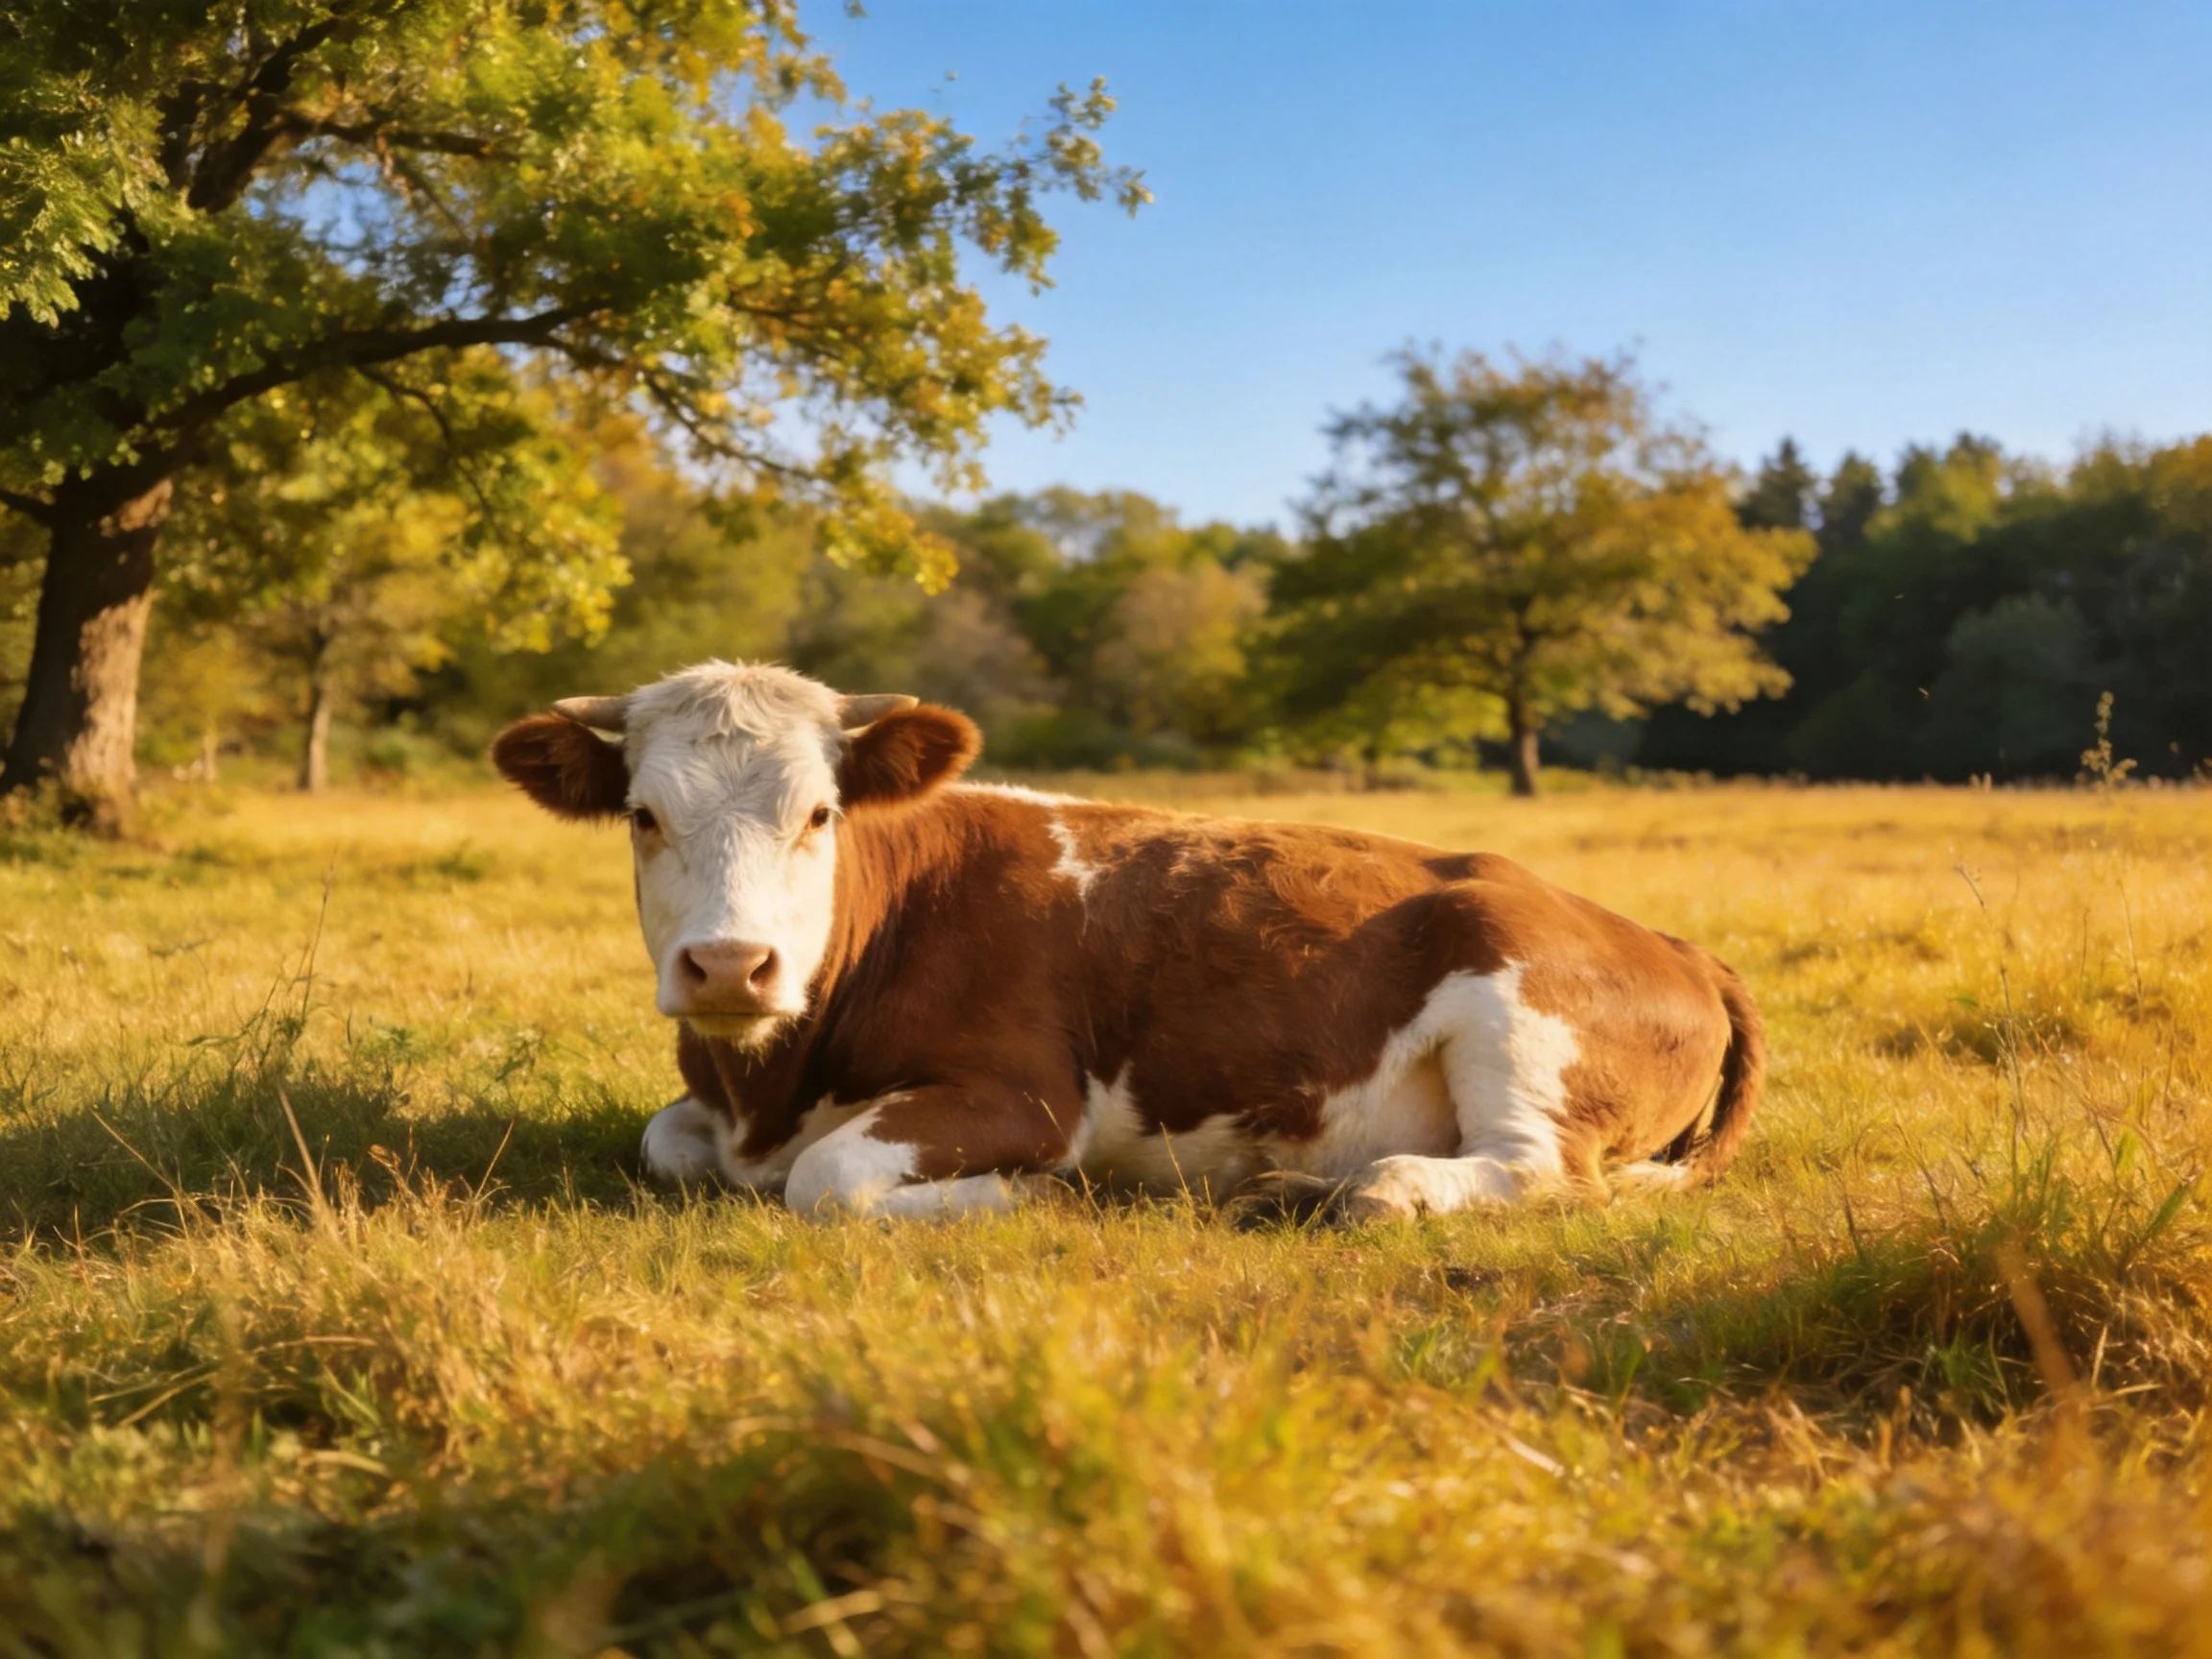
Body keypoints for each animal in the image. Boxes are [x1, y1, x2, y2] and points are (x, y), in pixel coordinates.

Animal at [491, 661, 1764, 1220]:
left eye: (819, 814)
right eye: (643, 815)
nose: (729, 965)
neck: (767, 1087)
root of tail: (1676, 943)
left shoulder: (1025, 1095)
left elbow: (829, 1178)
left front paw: (1018, 1201)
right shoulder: (707, 1110)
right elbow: (665, 1140)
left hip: (1515, 1001)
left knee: (1533, 1169)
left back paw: (1369, 1188)